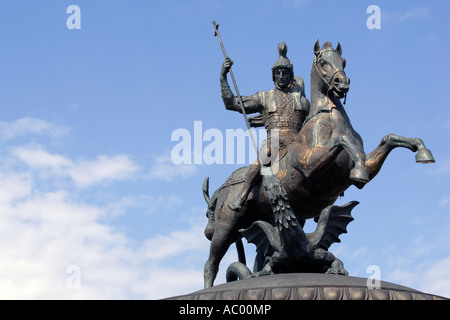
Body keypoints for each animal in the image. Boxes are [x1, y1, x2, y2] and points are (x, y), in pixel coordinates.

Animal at [202, 38, 434, 288]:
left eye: (343, 60)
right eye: (323, 62)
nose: (342, 82)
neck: (329, 119)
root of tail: (222, 189)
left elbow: (387, 139)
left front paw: (421, 150)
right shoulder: (309, 168)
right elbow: (342, 142)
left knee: (260, 253)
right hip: (226, 226)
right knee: (211, 263)